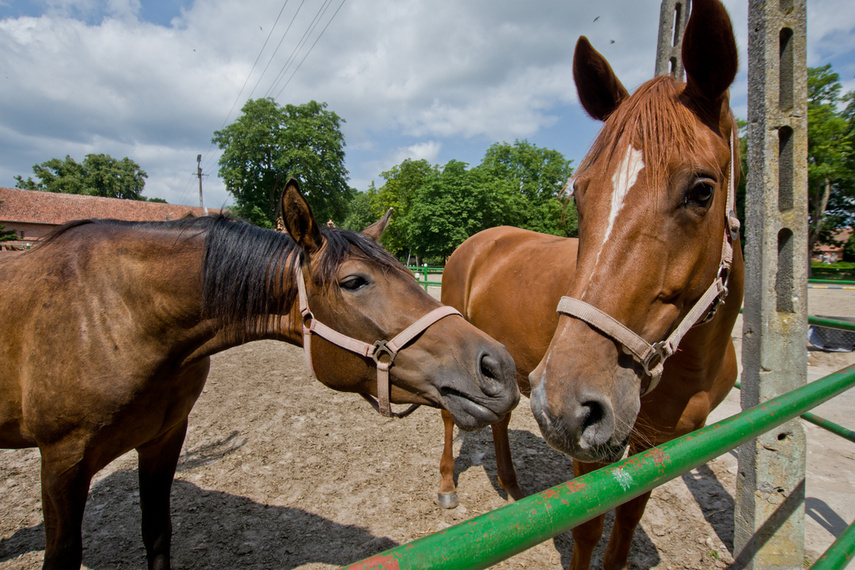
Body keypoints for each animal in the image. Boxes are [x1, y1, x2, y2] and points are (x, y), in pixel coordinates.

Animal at [0, 179, 520, 568]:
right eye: (354, 281)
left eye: (412, 274)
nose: (498, 366)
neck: (116, 314)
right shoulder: (62, 462)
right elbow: (63, 555)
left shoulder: (164, 438)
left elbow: (158, 533)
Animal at [438, 0, 740, 564]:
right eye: (579, 192)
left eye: (703, 190)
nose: (566, 404)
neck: (691, 364)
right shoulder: (592, 453)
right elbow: (588, 530)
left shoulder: (655, 450)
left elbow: (624, 530)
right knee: (451, 417)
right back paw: (447, 485)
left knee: (501, 419)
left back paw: (511, 484)